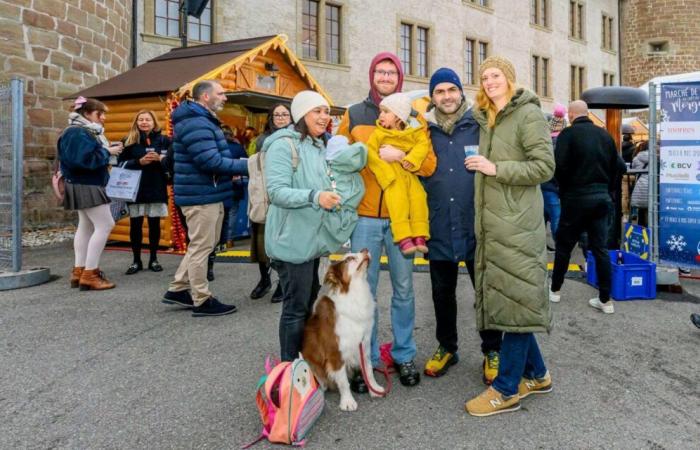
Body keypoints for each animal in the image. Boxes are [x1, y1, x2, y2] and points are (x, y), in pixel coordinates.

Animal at [304, 250, 386, 412]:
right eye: (349, 259)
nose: (366, 249)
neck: (354, 294)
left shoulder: (364, 344)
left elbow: (368, 370)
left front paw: (374, 389)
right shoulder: (335, 353)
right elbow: (343, 381)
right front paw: (348, 401)